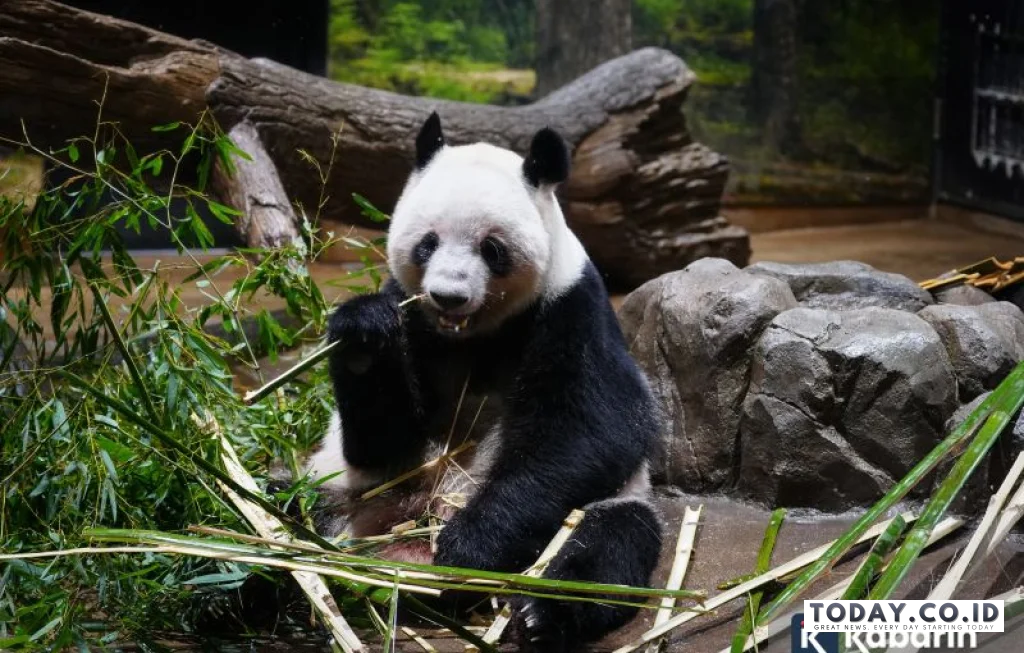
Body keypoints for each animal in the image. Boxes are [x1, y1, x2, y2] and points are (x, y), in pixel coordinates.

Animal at [304, 112, 663, 651]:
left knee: (609, 543)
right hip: (338, 492)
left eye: (491, 249)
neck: (472, 336)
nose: (447, 296)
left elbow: (593, 430)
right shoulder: (416, 325)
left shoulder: (571, 309)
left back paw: (541, 614)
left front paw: (468, 547)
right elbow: (382, 443)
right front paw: (364, 334)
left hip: (609, 505)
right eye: (427, 243)